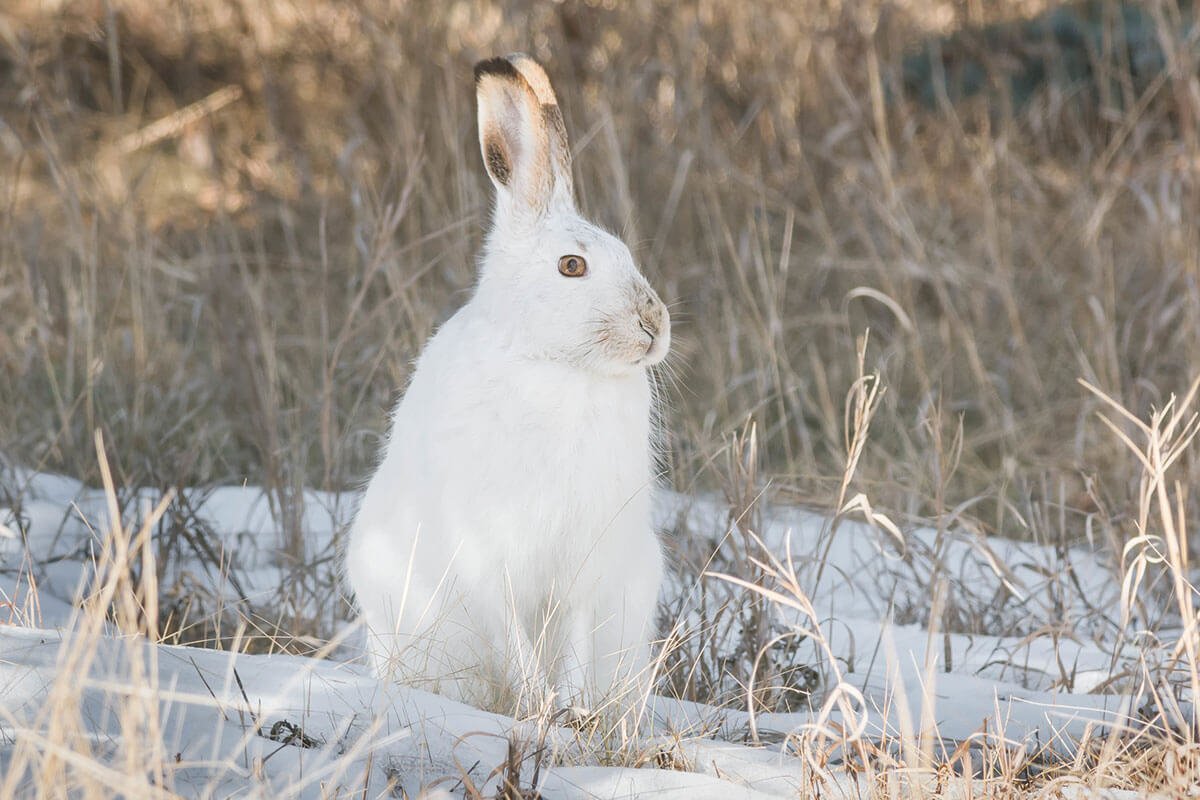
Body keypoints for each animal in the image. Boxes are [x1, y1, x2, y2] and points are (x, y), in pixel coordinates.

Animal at [344, 53, 670, 715]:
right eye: (572, 266)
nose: (655, 327)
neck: (555, 363)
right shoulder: (486, 556)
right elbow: (514, 637)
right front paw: (541, 707)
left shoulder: (581, 567)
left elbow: (571, 637)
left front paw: (570, 708)